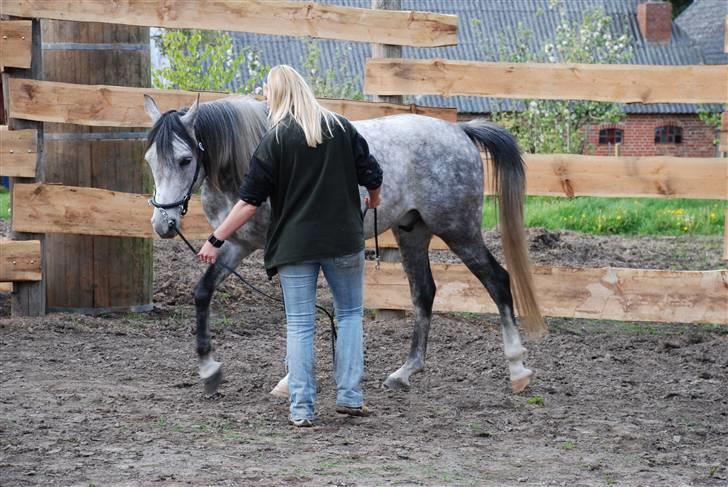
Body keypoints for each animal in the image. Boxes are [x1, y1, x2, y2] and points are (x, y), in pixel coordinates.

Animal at [142, 93, 544, 398]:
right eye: (150, 160)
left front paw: (289, 380)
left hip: (459, 230)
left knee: (498, 281)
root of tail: (459, 130)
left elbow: (294, 312)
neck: (248, 160)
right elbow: (203, 292)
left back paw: (518, 368)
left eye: (185, 159)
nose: (164, 224)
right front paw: (209, 370)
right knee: (424, 292)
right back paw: (405, 372)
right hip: (412, 232)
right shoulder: (236, 245)